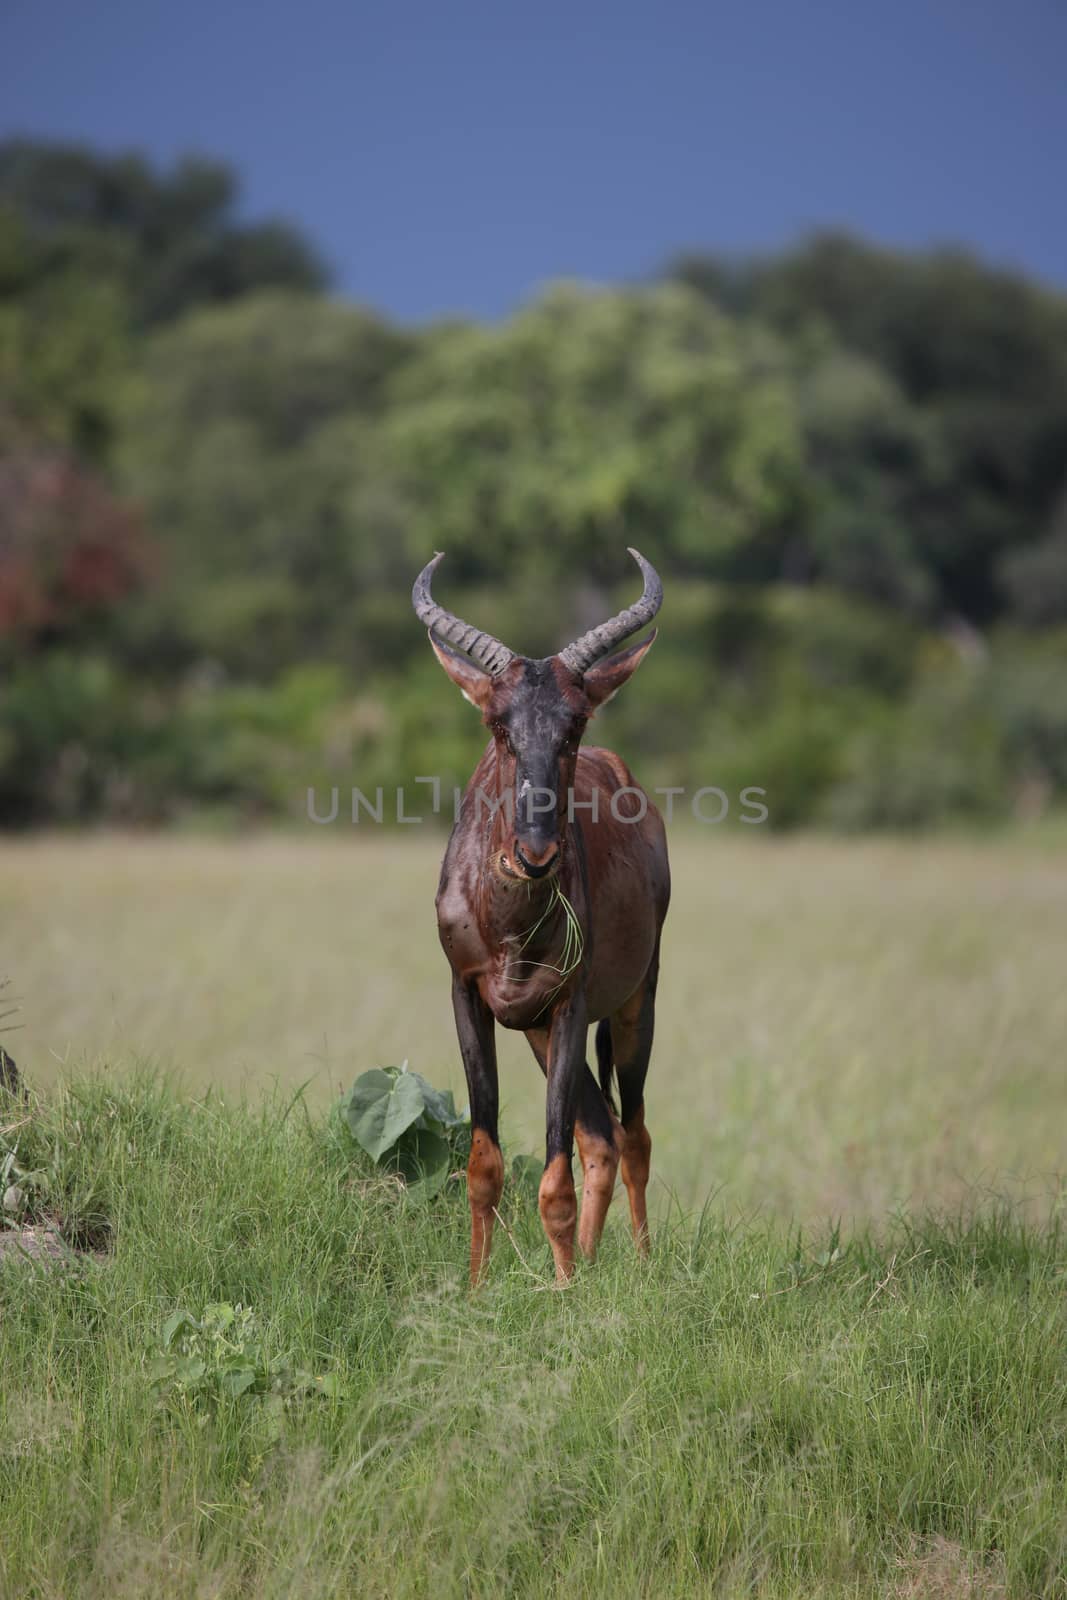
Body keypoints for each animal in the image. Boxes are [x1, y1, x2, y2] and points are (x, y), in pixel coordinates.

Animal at [412, 550, 671, 1286]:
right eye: (497, 725)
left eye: (574, 724)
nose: (535, 854)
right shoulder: (468, 997)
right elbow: (484, 1163)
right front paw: (476, 1288)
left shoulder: (569, 1004)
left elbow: (553, 1179)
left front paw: (562, 1292)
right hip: (534, 1029)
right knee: (600, 1136)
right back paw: (588, 1259)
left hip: (632, 1004)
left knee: (633, 1133)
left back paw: (639, 1265)